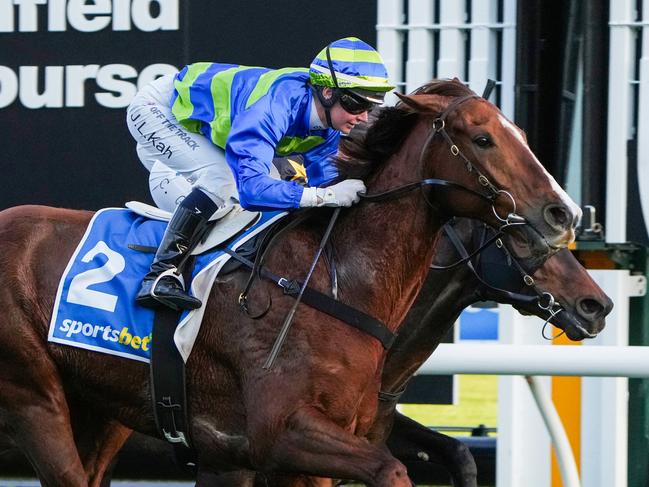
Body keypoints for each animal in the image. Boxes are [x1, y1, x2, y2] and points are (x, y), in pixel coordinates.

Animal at [0, 78, 584, 486]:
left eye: (521, 135)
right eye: (483, 139)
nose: (563, 213)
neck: (333, 282)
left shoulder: (267, 453)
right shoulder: (279, 435)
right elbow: (391, 469)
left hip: (102, 411)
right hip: (35, 398)